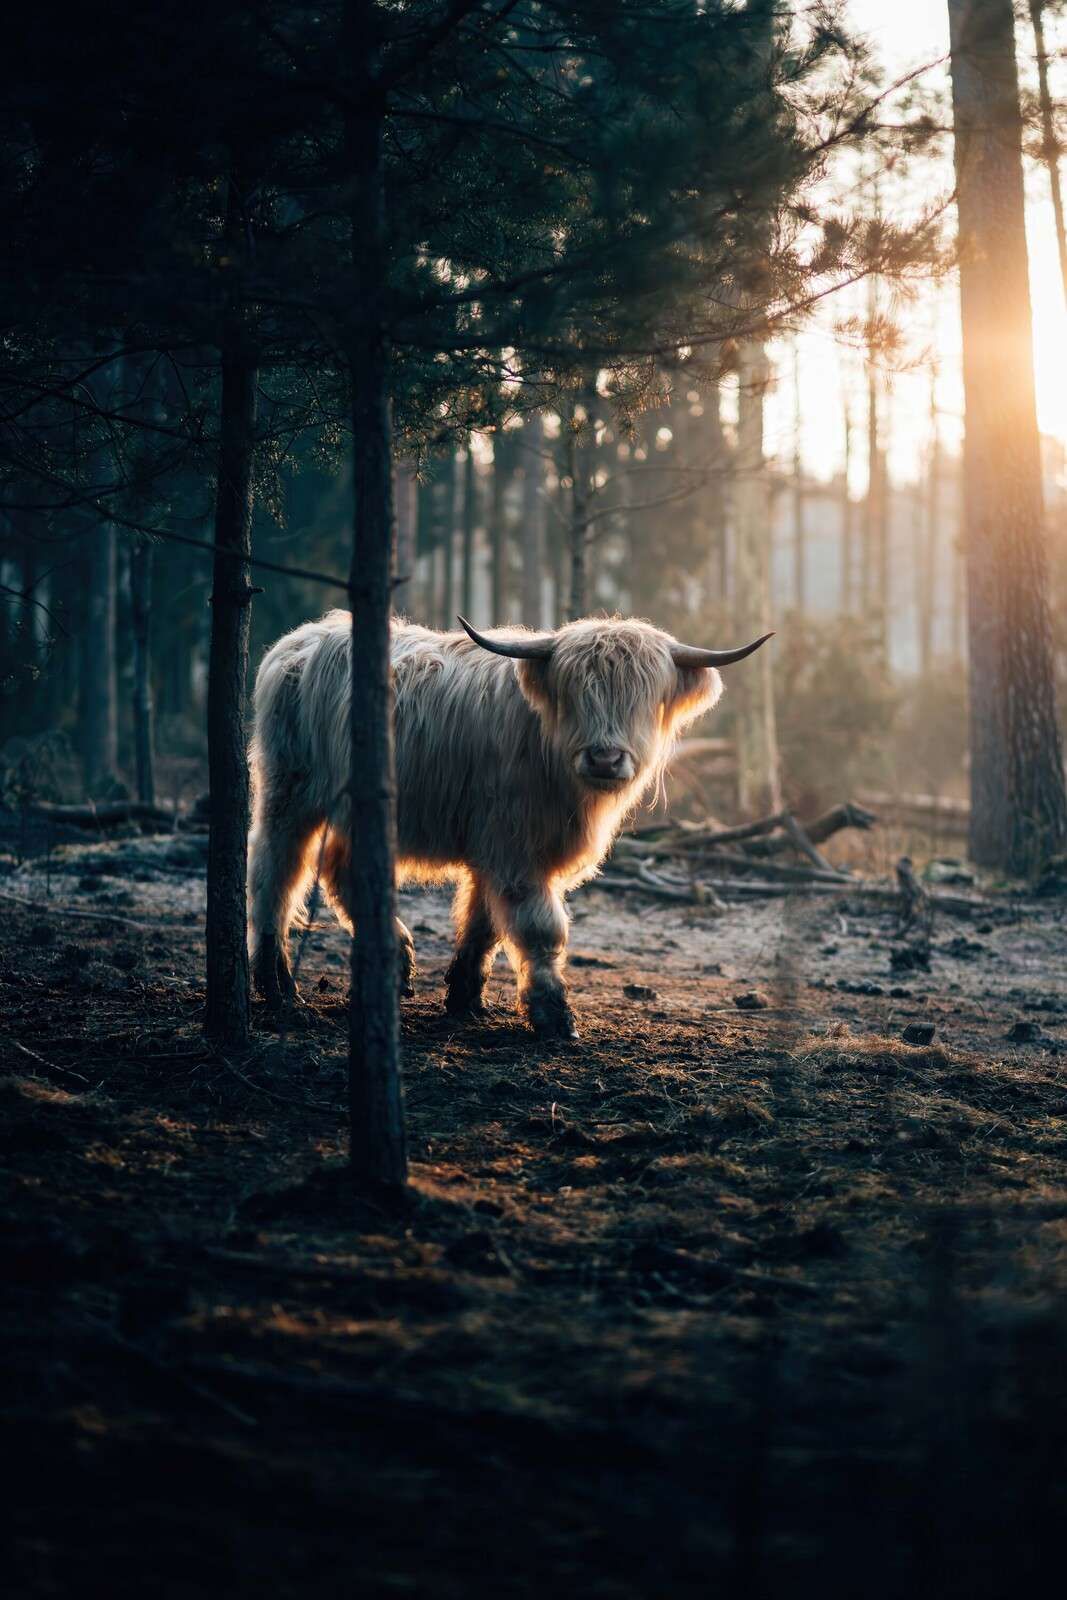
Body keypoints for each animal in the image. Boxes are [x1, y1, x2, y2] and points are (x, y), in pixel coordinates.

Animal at [247, 612, 771, 1038]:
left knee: (344, 871)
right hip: (290, 791)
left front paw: (464, 1000)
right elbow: (539, 929)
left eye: (642, 697)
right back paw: (279, 987)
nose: (604, 758)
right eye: (574, 693)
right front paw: (554, 1016)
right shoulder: (513, 847)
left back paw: (394, 957)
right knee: (276, 873)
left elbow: (483, 925)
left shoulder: (495, 846)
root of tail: (297, 641)